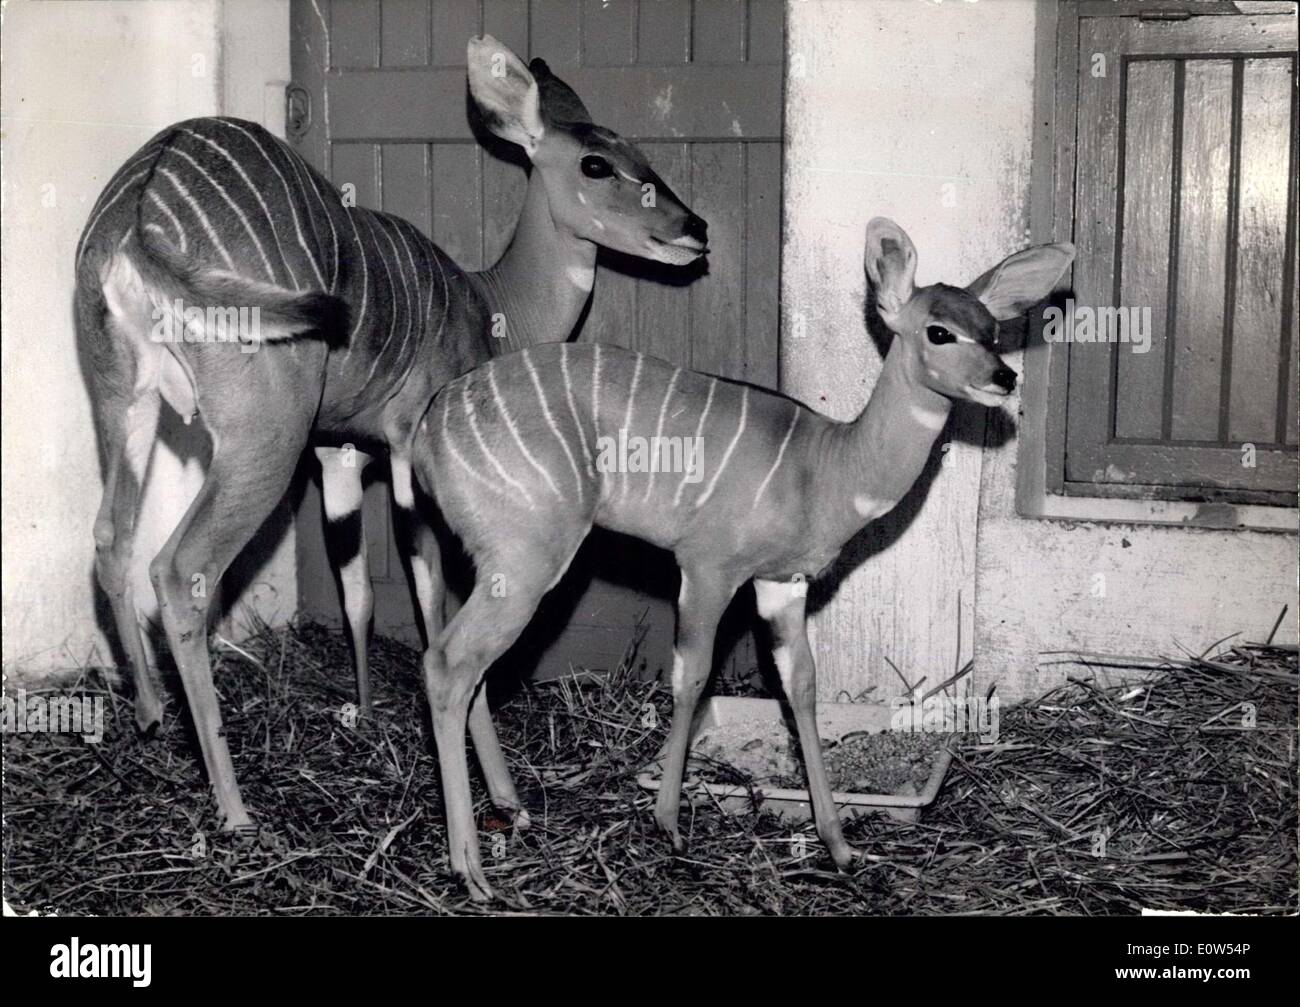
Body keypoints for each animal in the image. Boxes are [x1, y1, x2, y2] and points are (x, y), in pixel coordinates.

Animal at [76, 35, 707, 836]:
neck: (491, 305)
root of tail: (139, 215)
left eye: (639, 151)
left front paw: (367, 715)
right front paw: (503, 794)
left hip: (123, 403)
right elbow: (431, 599)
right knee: (179, 567)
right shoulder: (412, 445)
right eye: (597, 163)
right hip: (261, 436)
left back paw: (152, 714)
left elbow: (357, 592)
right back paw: (235, 807)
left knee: (112, 535)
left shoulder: (339, 451)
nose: (696, 230)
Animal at [410, 220, 1071, 899]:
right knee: (447, 663)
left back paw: (511, 809)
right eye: (939, 331)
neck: (826, 469)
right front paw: (669, 823)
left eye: (992, 330)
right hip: (527, 555)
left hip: (496, 560)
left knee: (468, 666)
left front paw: (841, 848)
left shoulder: (782, 583)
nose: (1004, 378)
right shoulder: (708, 565)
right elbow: (693, 675)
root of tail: (426, 433)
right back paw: (471, 870)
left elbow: (801, 685)